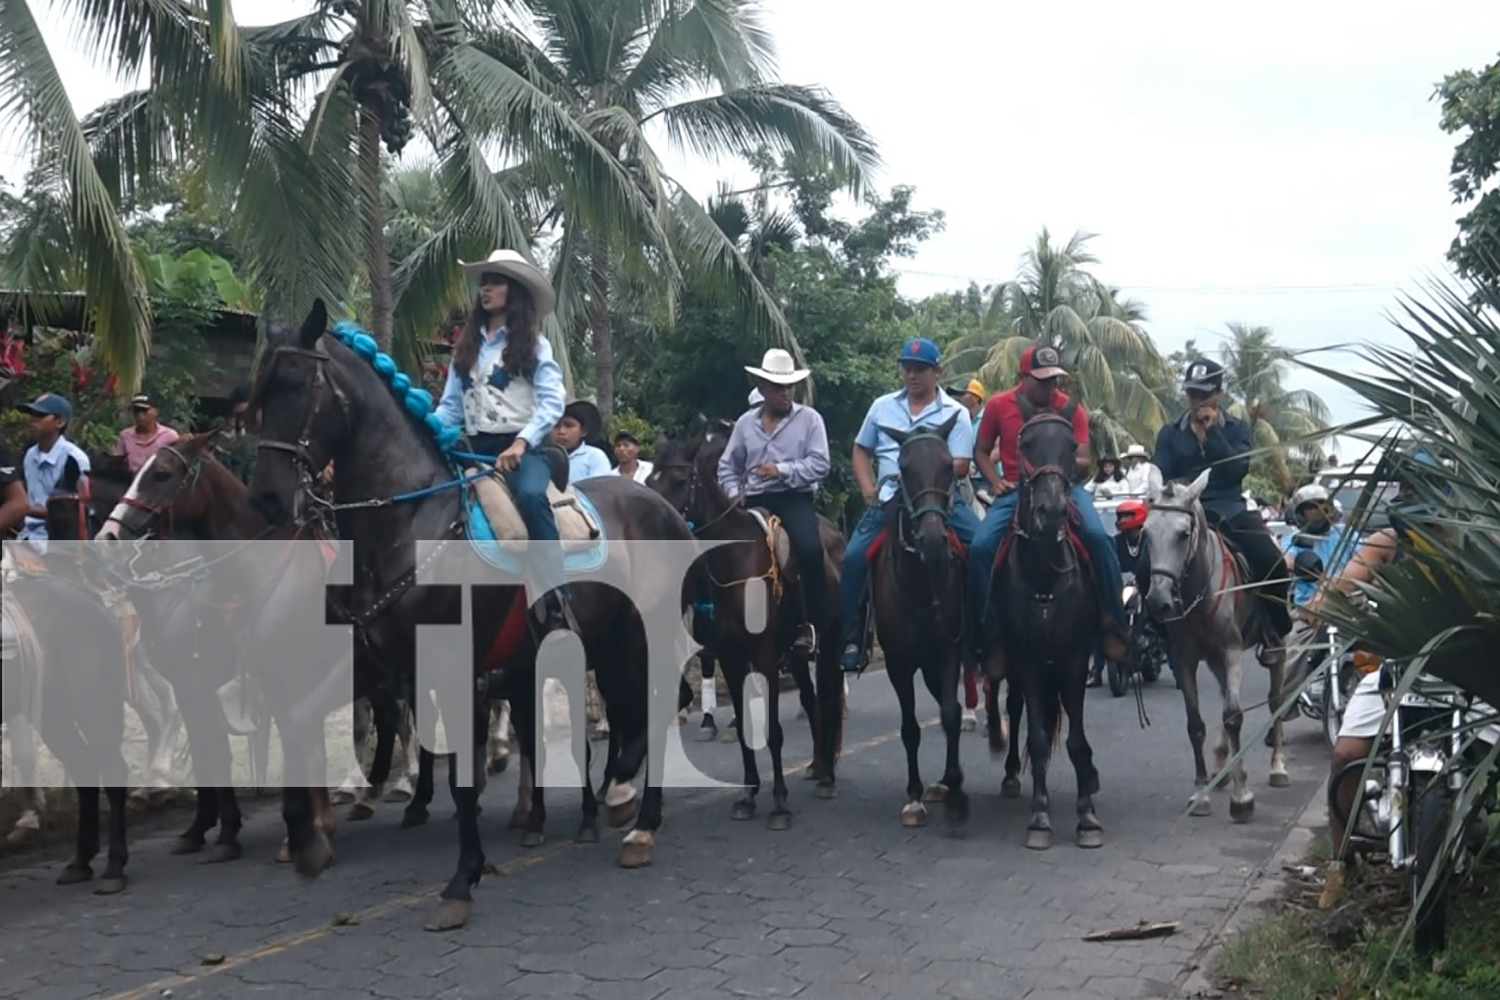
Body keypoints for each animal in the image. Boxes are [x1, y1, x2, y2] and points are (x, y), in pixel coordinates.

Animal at [249, 301, 699, 935]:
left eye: (294, 384)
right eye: (257, 393)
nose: (266, 497)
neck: (411, 520)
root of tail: (663, 507)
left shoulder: (453, 667)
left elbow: (462, 775)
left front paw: (461, 881)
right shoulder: (381, 662)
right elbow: (299, 720)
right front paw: (308, 841)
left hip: (647, 634)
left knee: (657, 710)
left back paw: (636, 820)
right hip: (610, 645)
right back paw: (621, 805)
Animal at [654, 419, 852, 827]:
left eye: (680, 481)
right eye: (651, 479)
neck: (734, 561)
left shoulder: (762, 655)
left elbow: (772, 731)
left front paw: (779, 802)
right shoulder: (731, 655)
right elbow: (746, 727)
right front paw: (747, 796)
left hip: (829, 642)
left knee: (827, 700)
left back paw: (827, 776)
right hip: (795, 655)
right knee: (812, 700)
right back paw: (817, 765)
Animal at [990, 410, 1110, 851]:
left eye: (1072, 447)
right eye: (1025, 445)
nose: (1052, 512)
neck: (1044, 577)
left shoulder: (1074, 658)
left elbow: (1075, 740)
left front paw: (1087, 818)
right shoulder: (1026, 659)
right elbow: (1039, 739)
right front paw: (1040, 819)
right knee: (1015, 709)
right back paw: (1011, 776)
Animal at [1140, 470, 1284, 821]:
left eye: (1183, 534)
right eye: (1146, 533)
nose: (1158, 601)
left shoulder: (1231, 651)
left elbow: (1234, 716)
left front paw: (1242, 796)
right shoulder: (1186, 659)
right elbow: (1196, 724)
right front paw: (1201, 793)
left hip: (1278, 646)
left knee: (1275, 698)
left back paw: (1277, 767)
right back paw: (1222, 763)